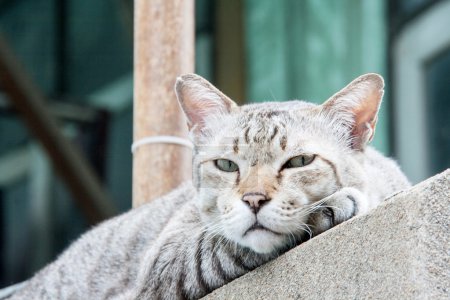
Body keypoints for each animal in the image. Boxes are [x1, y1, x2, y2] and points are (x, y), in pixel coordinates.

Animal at [7, 72, 410, 300]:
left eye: (298, 162)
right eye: (226, 165)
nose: (253, 199)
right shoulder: (164, 263)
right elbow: (218, 246)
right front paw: (332, 206)